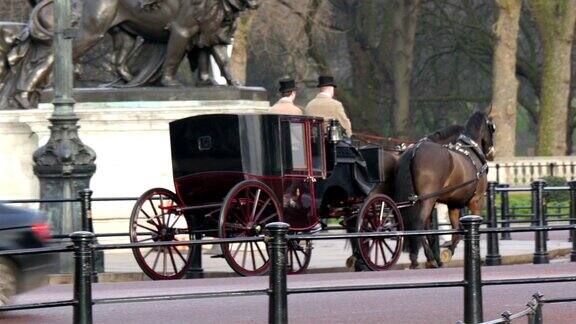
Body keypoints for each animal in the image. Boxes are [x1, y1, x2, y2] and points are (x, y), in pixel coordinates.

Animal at [396, 112, 496, 270]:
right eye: (492, 127)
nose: (491, 153)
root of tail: (414, 150)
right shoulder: (477, 200)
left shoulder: (453, 205)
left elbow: (456, 230)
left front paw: (448, 251)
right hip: (427, 200)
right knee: (419, 225)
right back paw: (428, 258)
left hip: (422, 201)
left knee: (424, 228)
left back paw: (429, 259)